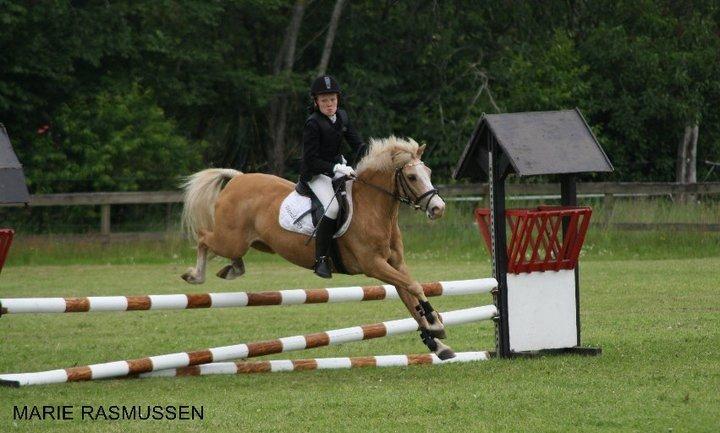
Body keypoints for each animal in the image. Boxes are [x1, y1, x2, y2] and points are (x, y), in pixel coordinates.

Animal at [179, 136, 456, 358]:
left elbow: (411, 296)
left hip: (252, 243)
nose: (438, 208)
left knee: (230, 253)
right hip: (229, 239)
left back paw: (232, 269)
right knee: (204, 238)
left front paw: (437, 341)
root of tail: (237, 180)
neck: (373, 209)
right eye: (411, 177)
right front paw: (435, 323)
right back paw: (195, 275)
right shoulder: (373, 265)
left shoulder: (395, 264)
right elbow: (414, 287)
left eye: (428, 171)